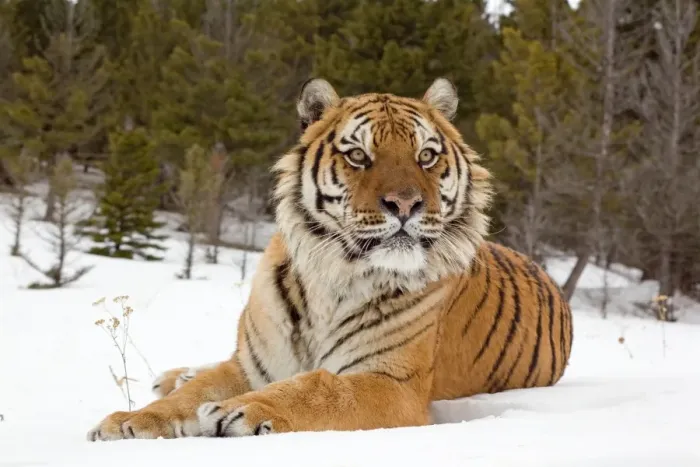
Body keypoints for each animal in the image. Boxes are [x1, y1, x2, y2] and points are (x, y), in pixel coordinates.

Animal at [87, 77, 573, 441]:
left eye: (426, 156)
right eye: (358, 155)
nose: (405, 204)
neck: (333, 277)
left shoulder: (393, 384)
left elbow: (319, 386)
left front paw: (241, 409)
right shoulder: (252, 363)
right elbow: (194, 394)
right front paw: (129, 421)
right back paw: (177, 375)